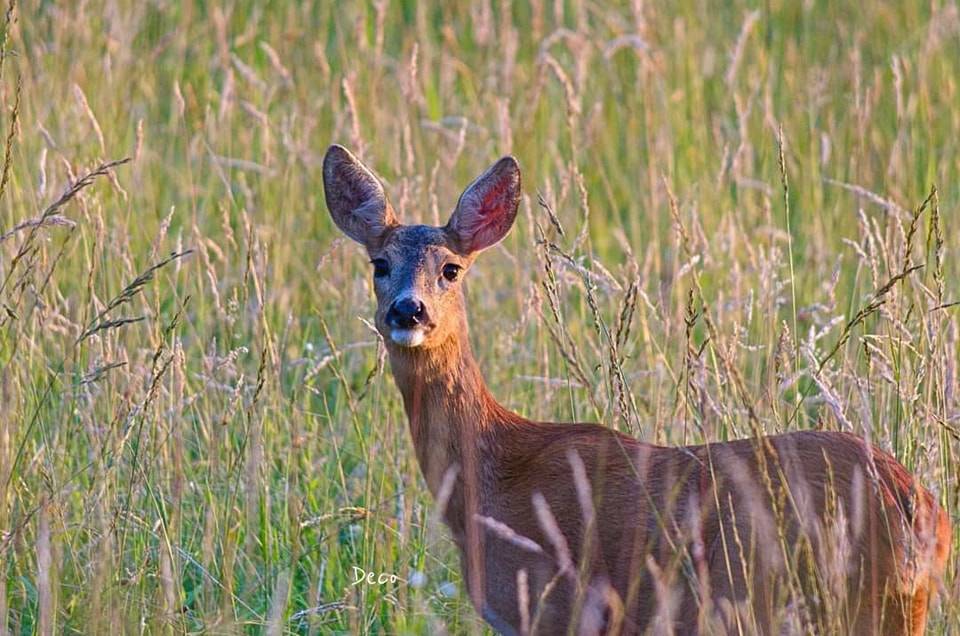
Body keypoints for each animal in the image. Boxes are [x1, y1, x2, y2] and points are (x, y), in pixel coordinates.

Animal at [322, 145, 952, 636]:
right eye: (379, 264)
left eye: (451, 269)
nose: (409, 310)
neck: (492, 473)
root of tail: (924, 511)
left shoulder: (560, 605)